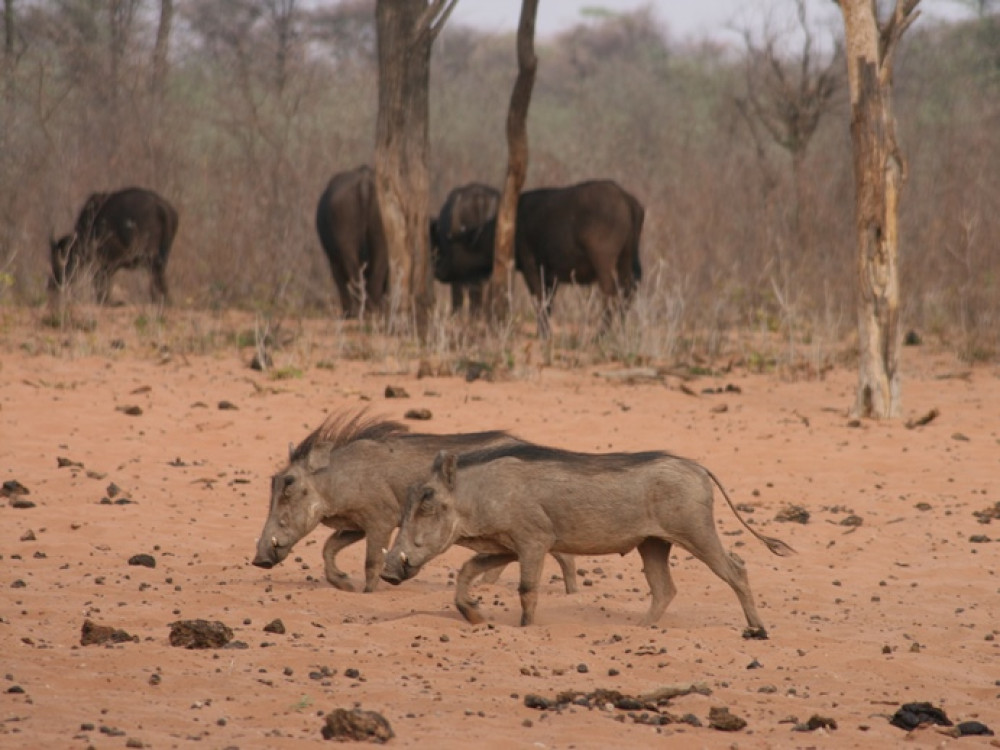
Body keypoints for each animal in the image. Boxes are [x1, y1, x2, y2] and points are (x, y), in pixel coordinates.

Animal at [50, 188, 178, 306]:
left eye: (64, 259)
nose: (55, 283)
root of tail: (160, 206)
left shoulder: (110, 259)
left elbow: (100, 278)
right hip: (161, 254)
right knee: (159, 273)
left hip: (146, 255)